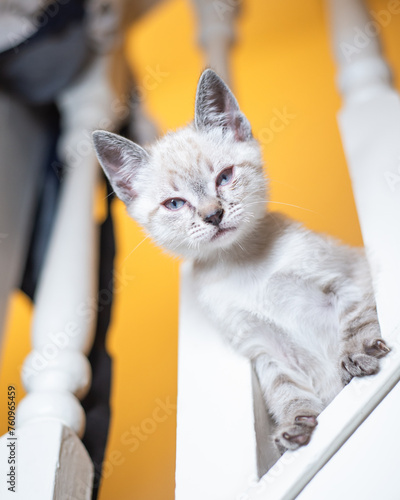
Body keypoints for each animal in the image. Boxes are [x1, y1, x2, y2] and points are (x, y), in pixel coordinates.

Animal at [92, 67, 390, 454]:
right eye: (175, 204)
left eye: (224, 177)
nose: (213, 215)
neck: (245, 266)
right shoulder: (262, 347)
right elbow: (284, 389)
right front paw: (295, 423)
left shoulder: (345, 279)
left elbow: (356, 319)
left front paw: (359, 351)